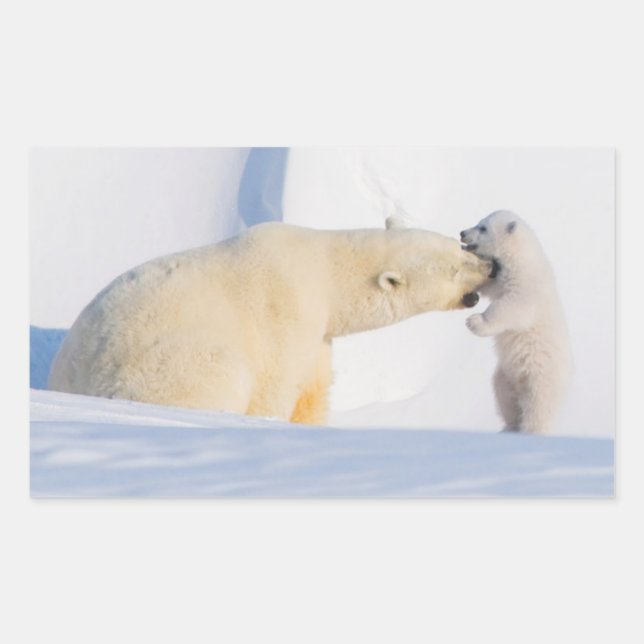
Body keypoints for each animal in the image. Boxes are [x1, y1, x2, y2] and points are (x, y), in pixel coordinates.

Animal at [48, 218, 492, 424]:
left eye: (460, 248)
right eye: (454, 269)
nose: (490, 266)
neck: (323, 271)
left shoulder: (319, 335)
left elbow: (314, 390)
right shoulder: (286, 313)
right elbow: (275, 388)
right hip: (164, 367)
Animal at [460, 210, 573, 435]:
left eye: (483, 227)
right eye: (478, 222)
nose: (462, 233)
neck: (521, 258)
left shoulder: (528, 286)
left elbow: (511, 307)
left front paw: (475, 322)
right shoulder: (502, 278)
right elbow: (492, 286)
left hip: (541, 377)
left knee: (538, 409)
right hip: (506, 374)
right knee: (504, 395)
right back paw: (509, 427)